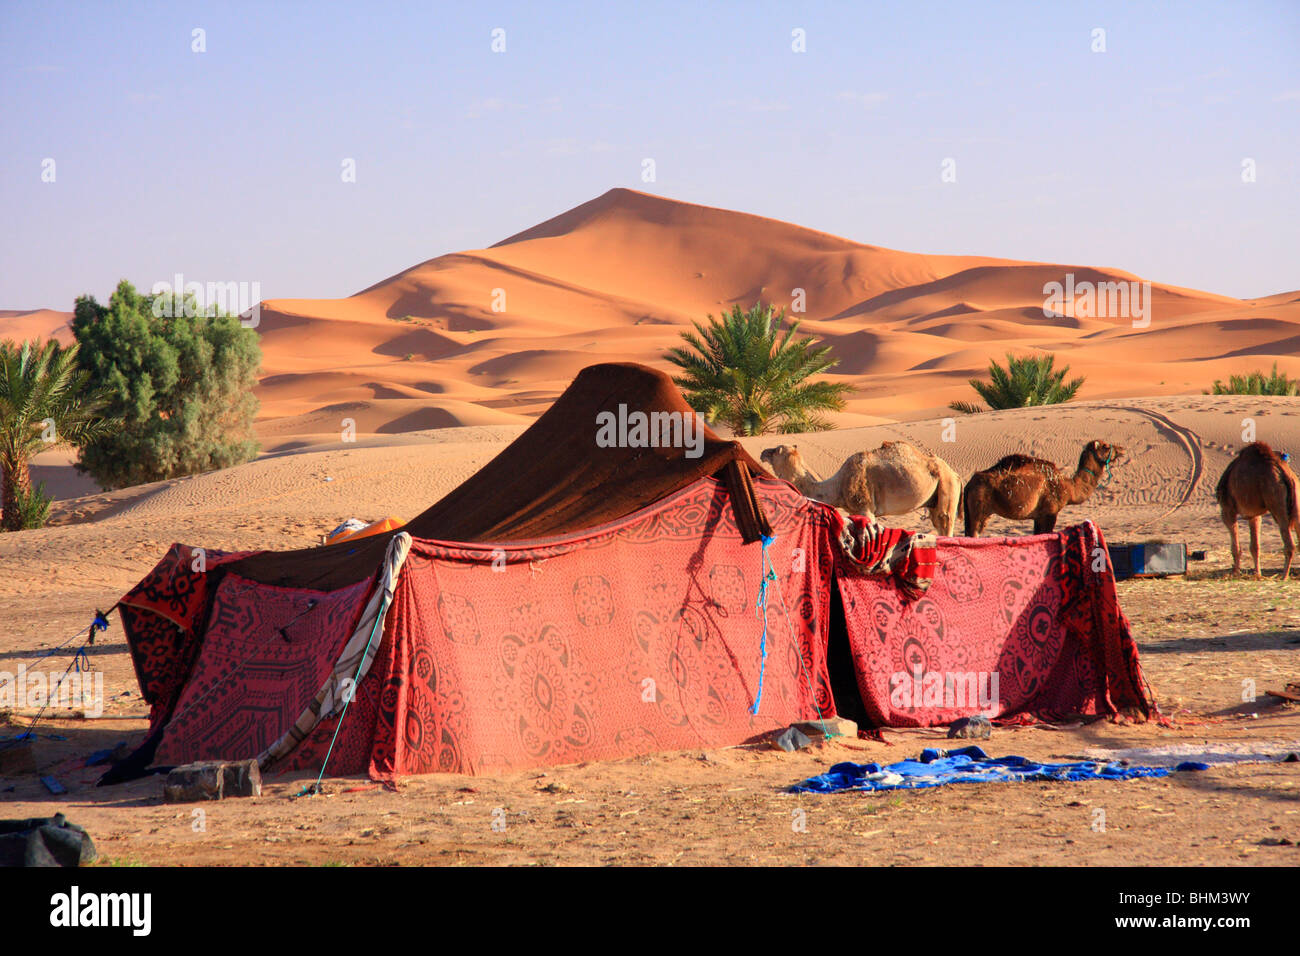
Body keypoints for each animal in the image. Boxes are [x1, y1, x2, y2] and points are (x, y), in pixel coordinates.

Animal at [759, 442, 961, 535]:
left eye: (776, 450)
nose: (762, 453)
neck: (837, 487)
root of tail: (956, 474)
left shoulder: (865, 508)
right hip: (935, 499)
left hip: (947, 486)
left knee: (945, 521)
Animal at [961, 442, 1123, 538]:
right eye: (1105, 446)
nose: (1121, 449)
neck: (1069, 488)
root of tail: (969, 484)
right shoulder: (1050, 513)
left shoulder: (1038, 517)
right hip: (979, 510)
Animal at [1211, 442, 1294, 582]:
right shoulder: (1254, 515)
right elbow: (1255, 546)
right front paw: (1257, 573)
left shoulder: (1227, 509)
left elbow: (1235, 547)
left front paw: (1235, 573)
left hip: (1276, 500)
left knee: (1289, 543)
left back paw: (1284, 576)